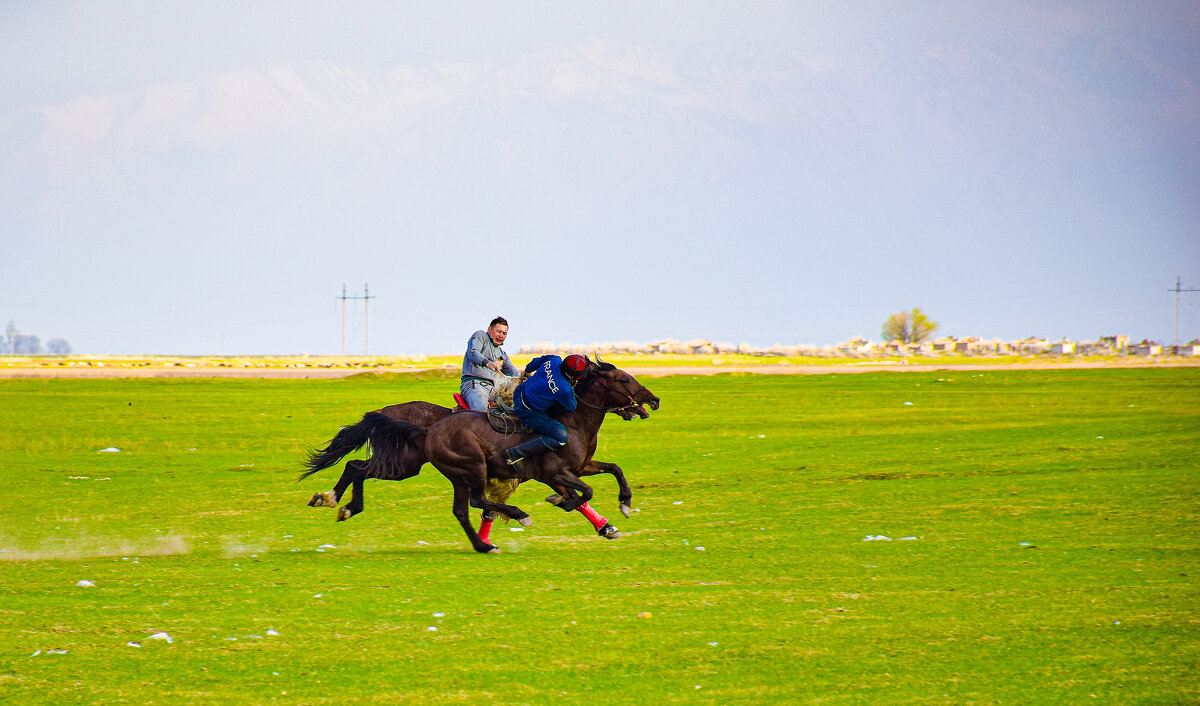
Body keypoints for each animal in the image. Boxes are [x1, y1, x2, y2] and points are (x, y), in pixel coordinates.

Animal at [302, 357, 657, 552]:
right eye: (624, 379)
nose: (653, 400)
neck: (570, 420)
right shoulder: (552, 472)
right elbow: (584, 493)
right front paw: (567, 505)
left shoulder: (579, 467)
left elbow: (613, 471)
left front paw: (616, 514)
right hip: (447, 466)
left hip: (420, 468)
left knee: (359, 467)